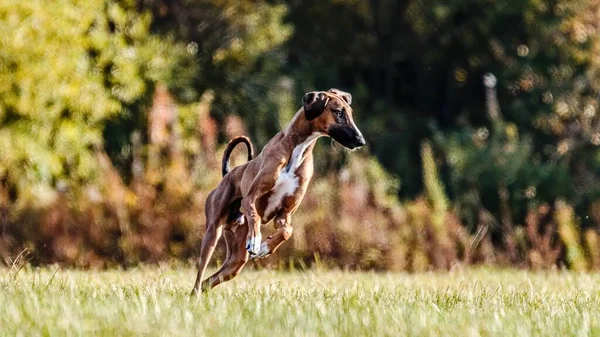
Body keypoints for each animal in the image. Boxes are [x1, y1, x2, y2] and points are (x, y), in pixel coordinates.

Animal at [191, 88, 366, 292]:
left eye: (350, 113)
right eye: (338, 112)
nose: (361, 141)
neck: (297, 149)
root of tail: (227, 174)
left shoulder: (284, 214)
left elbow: (287, 231)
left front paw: (266, 247)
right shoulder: (250, 198)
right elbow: (255, 216)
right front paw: (256, 240)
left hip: (236, 261)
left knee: (207, 282)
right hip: (212, 234)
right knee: (199, 279)